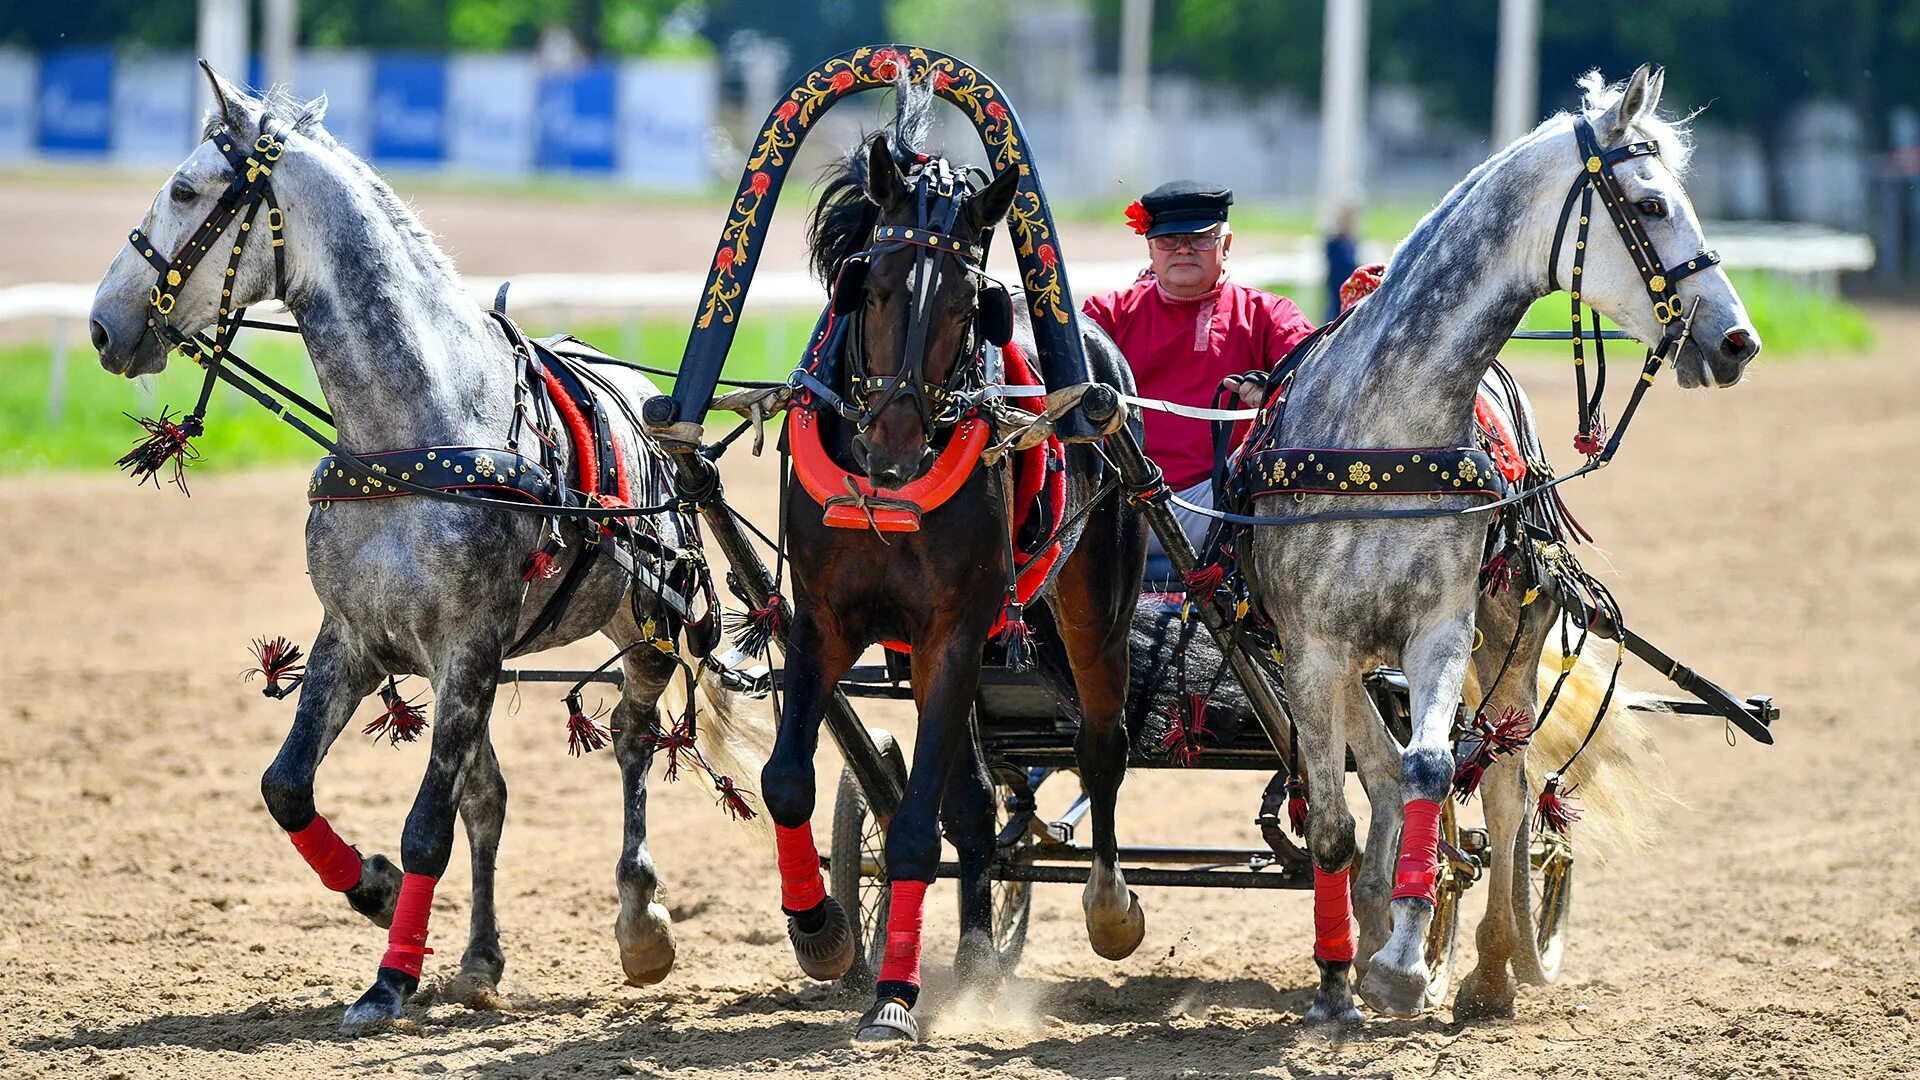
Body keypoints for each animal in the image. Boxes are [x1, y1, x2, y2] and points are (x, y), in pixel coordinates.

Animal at [82, 62, 771, 1030]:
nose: (104, 326)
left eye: (186, 190)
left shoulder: (469, 645)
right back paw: (480, 959)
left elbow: (426, 828)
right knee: (490, 797)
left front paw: (390, 977)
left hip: (647, 624)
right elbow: (287, 786)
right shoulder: (355, 637)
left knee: (633, 740)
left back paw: (640, 921)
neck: (417, 433)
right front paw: (370, 889)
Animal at [756, 84, 1144, 1037]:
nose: (895, 443)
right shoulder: (824, 620)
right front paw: (821, 929)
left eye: (974, 307)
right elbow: (787, 781)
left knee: (1101, 744)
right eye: (872, 287)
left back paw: (1109, 905)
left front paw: (894, 996)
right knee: (972, 796)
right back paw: (973, 953)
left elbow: (913, 826)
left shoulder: (954, 629)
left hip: (1089, 614)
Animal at [1236, 62, 1758, 1022]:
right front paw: (1342, 976)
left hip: (1509, 636)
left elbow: (1432, 769)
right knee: (1379, 770)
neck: (1383, 434)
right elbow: (1334, 819)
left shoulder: (1442, 631)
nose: (1739, 340)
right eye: (1653, 203)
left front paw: (1407, 961)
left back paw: (1489, 965)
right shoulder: (1311, 648)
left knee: (1509, 789)